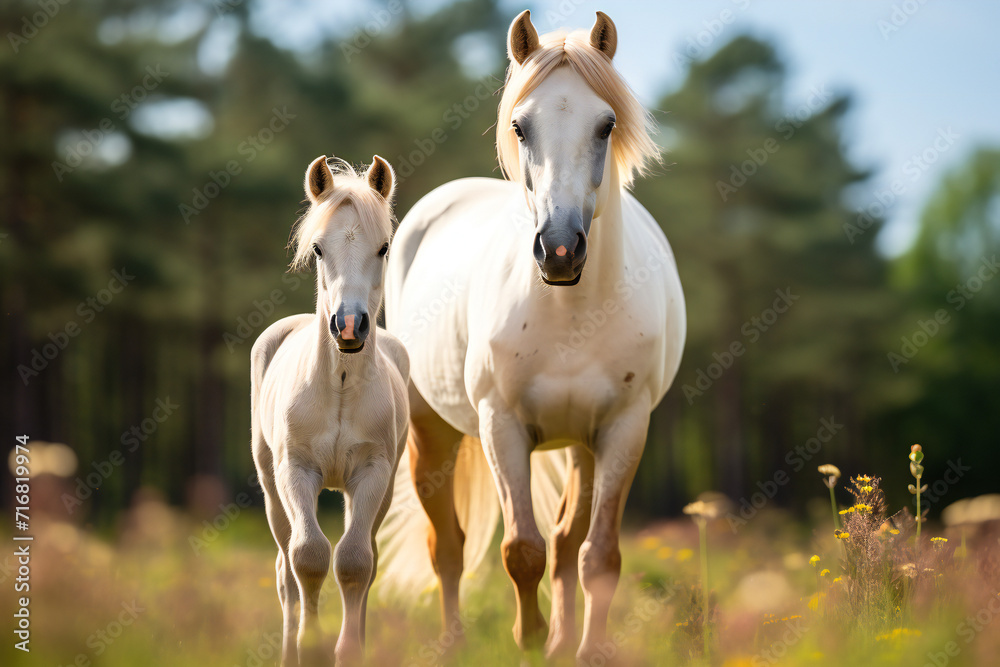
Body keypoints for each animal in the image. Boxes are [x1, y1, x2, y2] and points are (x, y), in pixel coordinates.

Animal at [250, 155, 409, 666]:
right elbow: (309, 556)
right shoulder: (296, 471)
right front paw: (311, 648)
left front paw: (349, 649)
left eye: (383, 247)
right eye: (319, 249)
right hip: (270, 486)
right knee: (285, 571)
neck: (337, 386)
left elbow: (355, 562)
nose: (350, 325)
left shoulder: (372, 474)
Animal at [377, 9, 686, 661]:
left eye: (606, 124)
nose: (560, 249)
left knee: (568, 543)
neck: (571, 312)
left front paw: (581, 649)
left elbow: (598, 556)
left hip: (579, 445)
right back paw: (454, 643)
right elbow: (521, 550)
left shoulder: (623, 428)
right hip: (432, 433)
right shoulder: (502, 426)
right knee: (448, 547)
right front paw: (528, 639)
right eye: (520, 126)